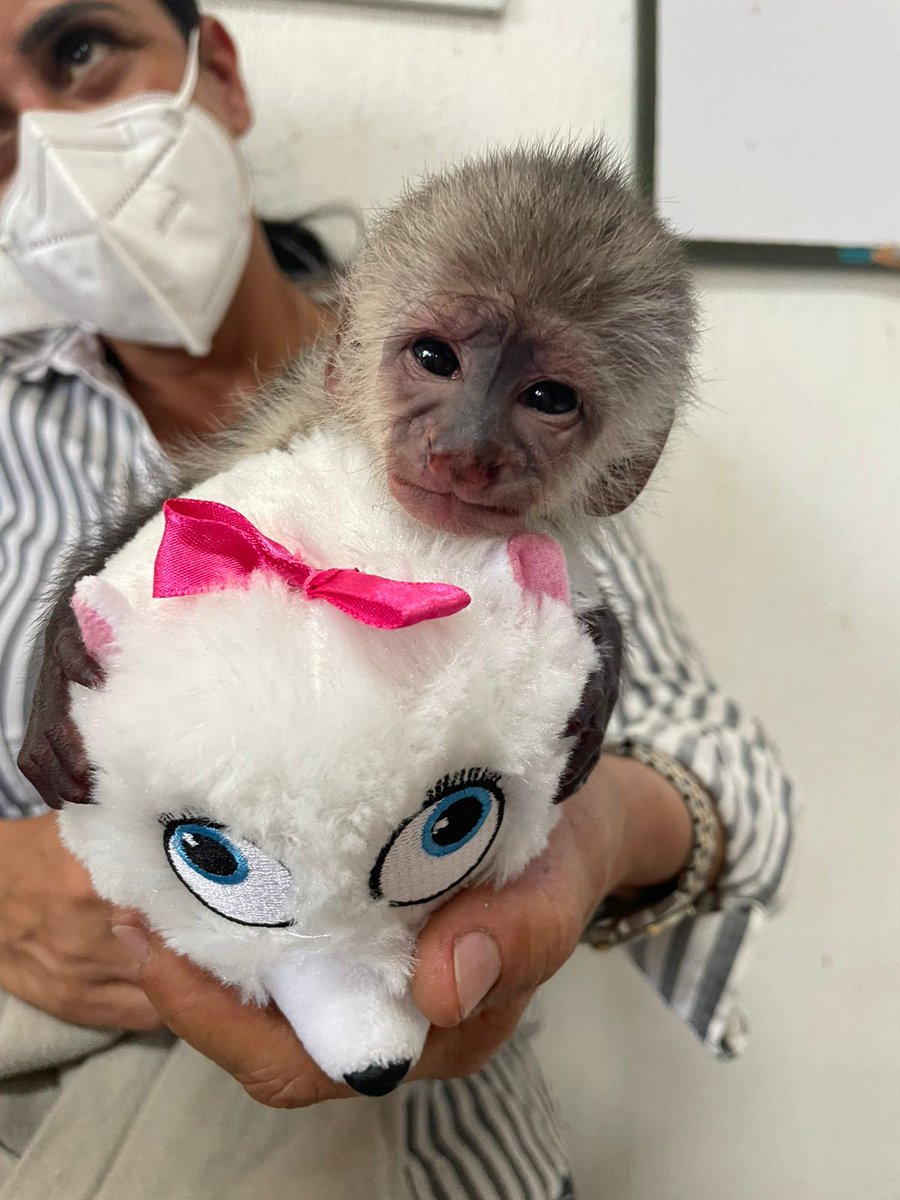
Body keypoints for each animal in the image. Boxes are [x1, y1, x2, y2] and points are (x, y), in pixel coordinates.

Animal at [18, 139, 696, 809]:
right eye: (435, 357)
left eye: (549, 399)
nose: (464, 450)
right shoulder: (293, 417)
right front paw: (61, 653)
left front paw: (603, 656)